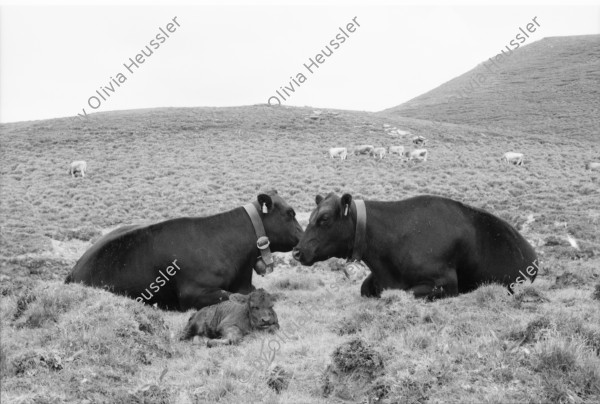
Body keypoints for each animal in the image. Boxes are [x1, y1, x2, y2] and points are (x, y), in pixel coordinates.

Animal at [65, 191, 302, 310]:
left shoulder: (244, 283)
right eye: (290, 213)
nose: (302, 241)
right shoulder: (193, 293)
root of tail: (75, 268)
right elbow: (234, 297)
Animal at [294, 194, 540, 298]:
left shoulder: (445, 282)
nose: (297, 251)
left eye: (324, 218)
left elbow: (406, 292)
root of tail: (531, 252)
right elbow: (365, 288)